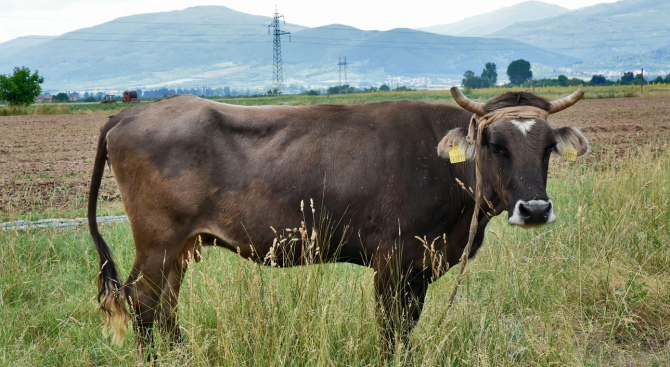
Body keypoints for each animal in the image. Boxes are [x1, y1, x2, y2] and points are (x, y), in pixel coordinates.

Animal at [88, 88, 588, 356]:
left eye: (547, 147)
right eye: (495, 145)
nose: (535, 209)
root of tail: (131, 111)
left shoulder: (419, 266)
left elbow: (407, 324)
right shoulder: (394, 258)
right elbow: (391, 326)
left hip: (181, 246)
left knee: (164, 305)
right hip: (158, 241)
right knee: (142, 301)